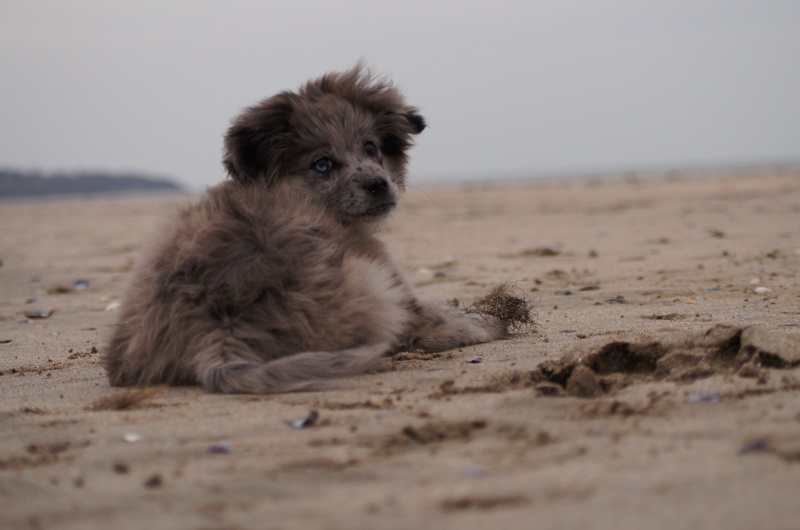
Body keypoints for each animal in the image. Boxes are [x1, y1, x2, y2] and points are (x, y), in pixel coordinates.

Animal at [104, 65, 506, 392]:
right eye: (322, 165)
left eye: (370, 147)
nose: (378, 185)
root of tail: (218, 325)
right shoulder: (399, 288)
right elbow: (452, 318)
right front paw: (494, 321)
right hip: (375, 289)